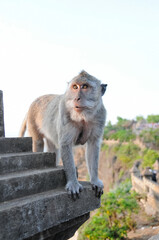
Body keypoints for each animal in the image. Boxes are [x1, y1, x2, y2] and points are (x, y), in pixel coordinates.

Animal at [19, 71, 107, 199]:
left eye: (85, 86)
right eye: (75, 87)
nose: (76, 98)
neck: (83, 116)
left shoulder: (100, 116)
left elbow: (93, 145)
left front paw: (95, 180)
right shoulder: (65, 115)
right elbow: (65, 144)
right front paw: (73, 183)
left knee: (53, 148)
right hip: (32, 119)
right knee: (38, 142)